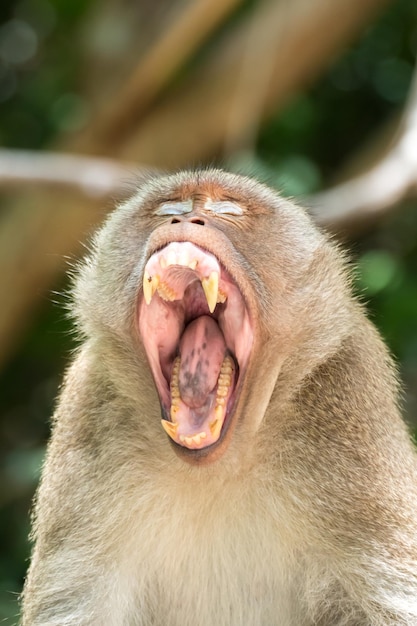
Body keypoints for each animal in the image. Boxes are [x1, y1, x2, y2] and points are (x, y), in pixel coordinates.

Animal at [22, 168, 416, 620]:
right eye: (169, 210)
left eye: (228, 211)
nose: (184, 221)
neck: (219, 466)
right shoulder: (90, 402)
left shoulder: (350, 394)